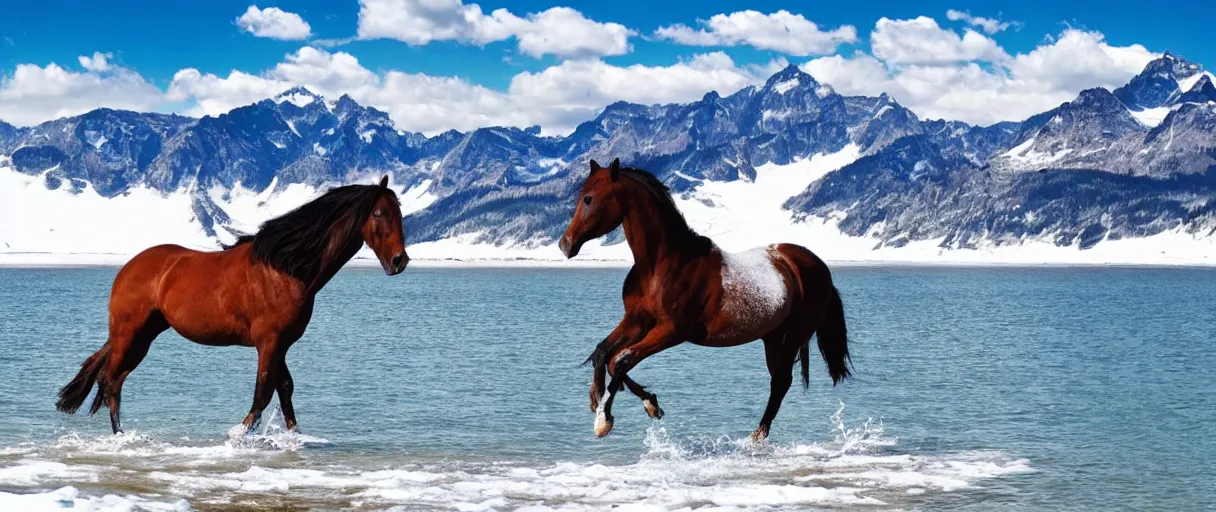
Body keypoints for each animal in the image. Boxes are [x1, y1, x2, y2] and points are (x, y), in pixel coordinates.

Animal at [55, 175, 408, 430]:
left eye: (400, 214)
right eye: (380, 213)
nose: (400, 260)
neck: (284, 269)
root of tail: (127, 268)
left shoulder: (280, 344)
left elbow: (284, 389)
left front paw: (293, 438)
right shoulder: (268, 342)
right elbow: (263, 394)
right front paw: (239, 435)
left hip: (145, 335)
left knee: (112, 380)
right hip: (130, 334)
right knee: (111, 382)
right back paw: (122, 437)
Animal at [556, 159, 851, 437]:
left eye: (588, 198)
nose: (565, 244)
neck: (662, 264)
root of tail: (820, 267)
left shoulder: (672, 331)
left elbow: (621, 359)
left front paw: (604, 420)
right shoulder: (638, 320)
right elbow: (605, 353)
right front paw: (642, 403)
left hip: (789, 337)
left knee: (781, 381)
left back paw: (757, 436)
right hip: (773, 336)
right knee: (779, 381)